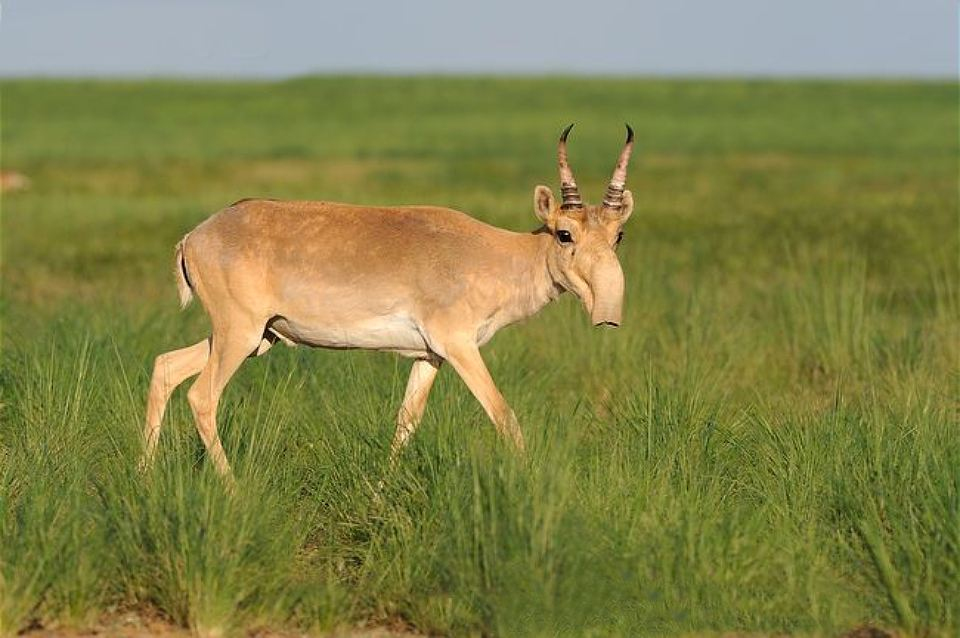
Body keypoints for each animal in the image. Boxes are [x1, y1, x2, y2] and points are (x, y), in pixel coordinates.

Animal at [142, 125, 632, 478]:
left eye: (618, 235)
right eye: (565, 234)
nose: (608, 315)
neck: (497, 253)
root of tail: (195, 236)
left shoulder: (429, 356)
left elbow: (406, 422)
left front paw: (380, 493)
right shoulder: (460, 348)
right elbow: (504, 415)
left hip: (257, 337)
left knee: (165, 367)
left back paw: (145, 476)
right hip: (239, 336)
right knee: (202, 396)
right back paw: (233, 489)